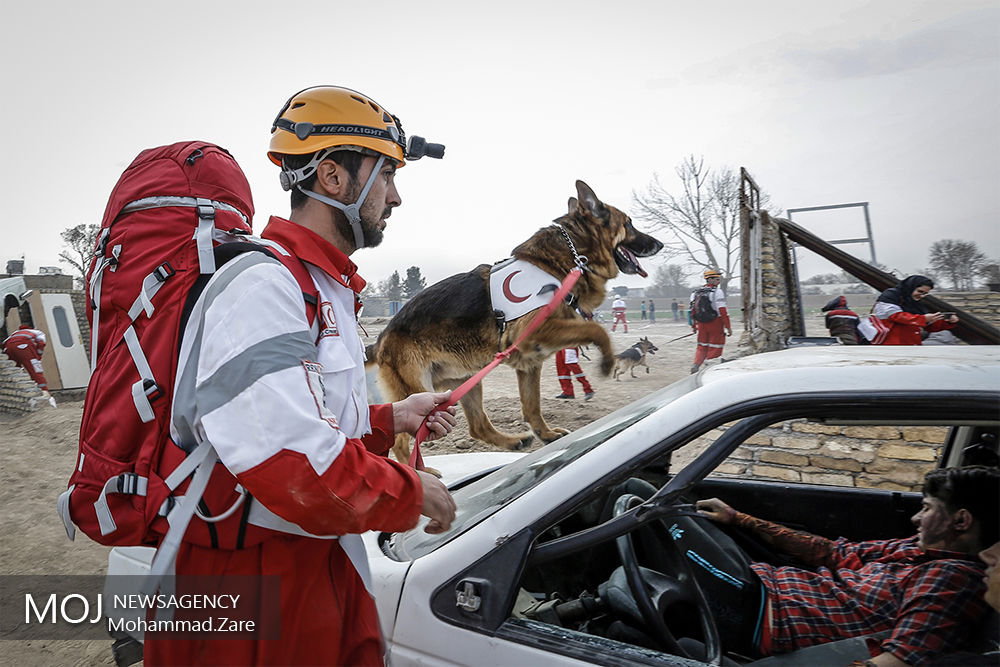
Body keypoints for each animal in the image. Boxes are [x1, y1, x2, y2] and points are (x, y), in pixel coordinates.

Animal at [368, 180, 664, 468]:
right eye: (629, 223)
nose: (660, 244)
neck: (571, 256)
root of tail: (381, 338)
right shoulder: (537, 331)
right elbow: (597, 329)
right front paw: (606, 362)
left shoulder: (529, 363)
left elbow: (532, 407)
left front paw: (546, 435)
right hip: (422, 395)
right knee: (401, 439)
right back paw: (421, 471)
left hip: (465, 381)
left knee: (478, 426)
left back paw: (514, 442)